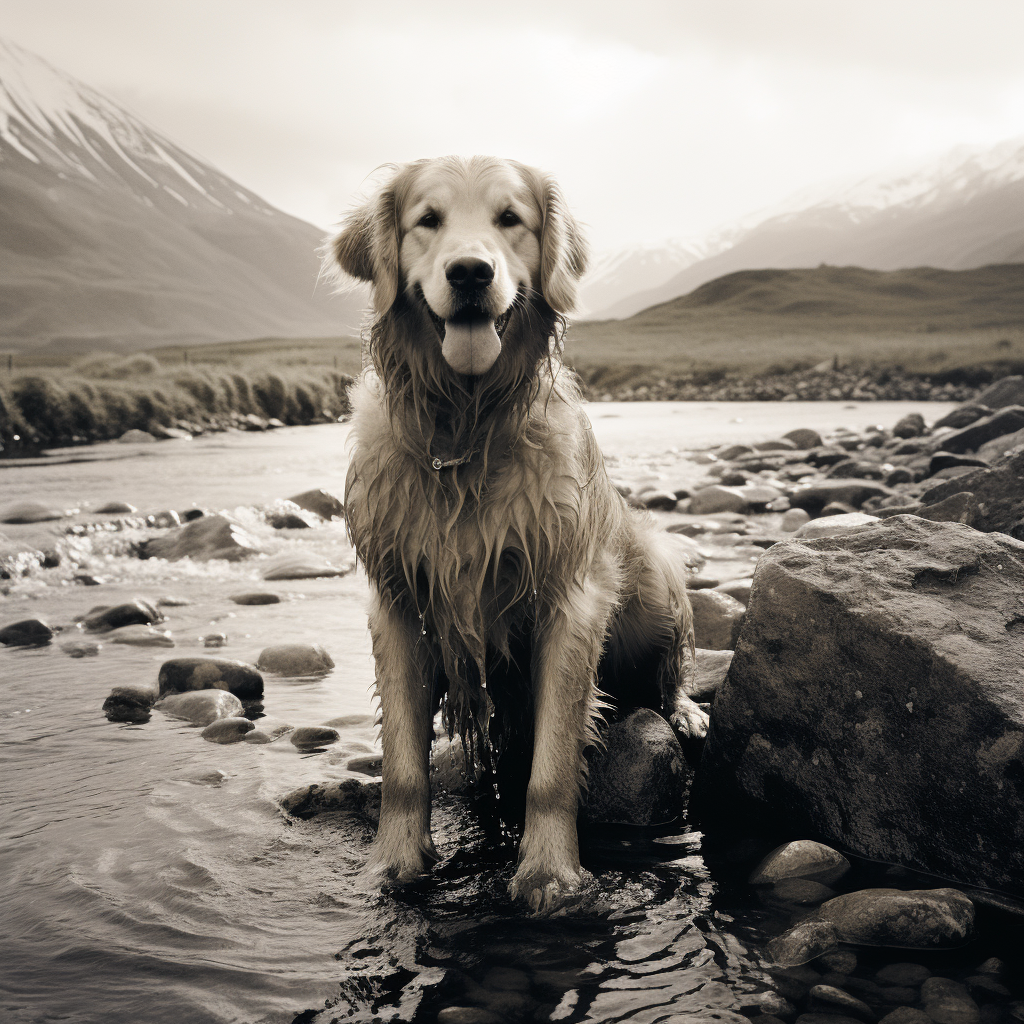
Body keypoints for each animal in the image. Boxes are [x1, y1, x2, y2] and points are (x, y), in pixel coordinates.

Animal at [325, 155, 704, 909]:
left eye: (510, 219)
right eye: (428, 220)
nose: (471, 272)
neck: (464, 431)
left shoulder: (571, 597)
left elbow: (552, 766)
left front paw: (549, 875)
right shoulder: (398, 603)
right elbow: (403, 766)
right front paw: (393, 865)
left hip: (652, 576)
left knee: (669, 663)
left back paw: (683, 710)